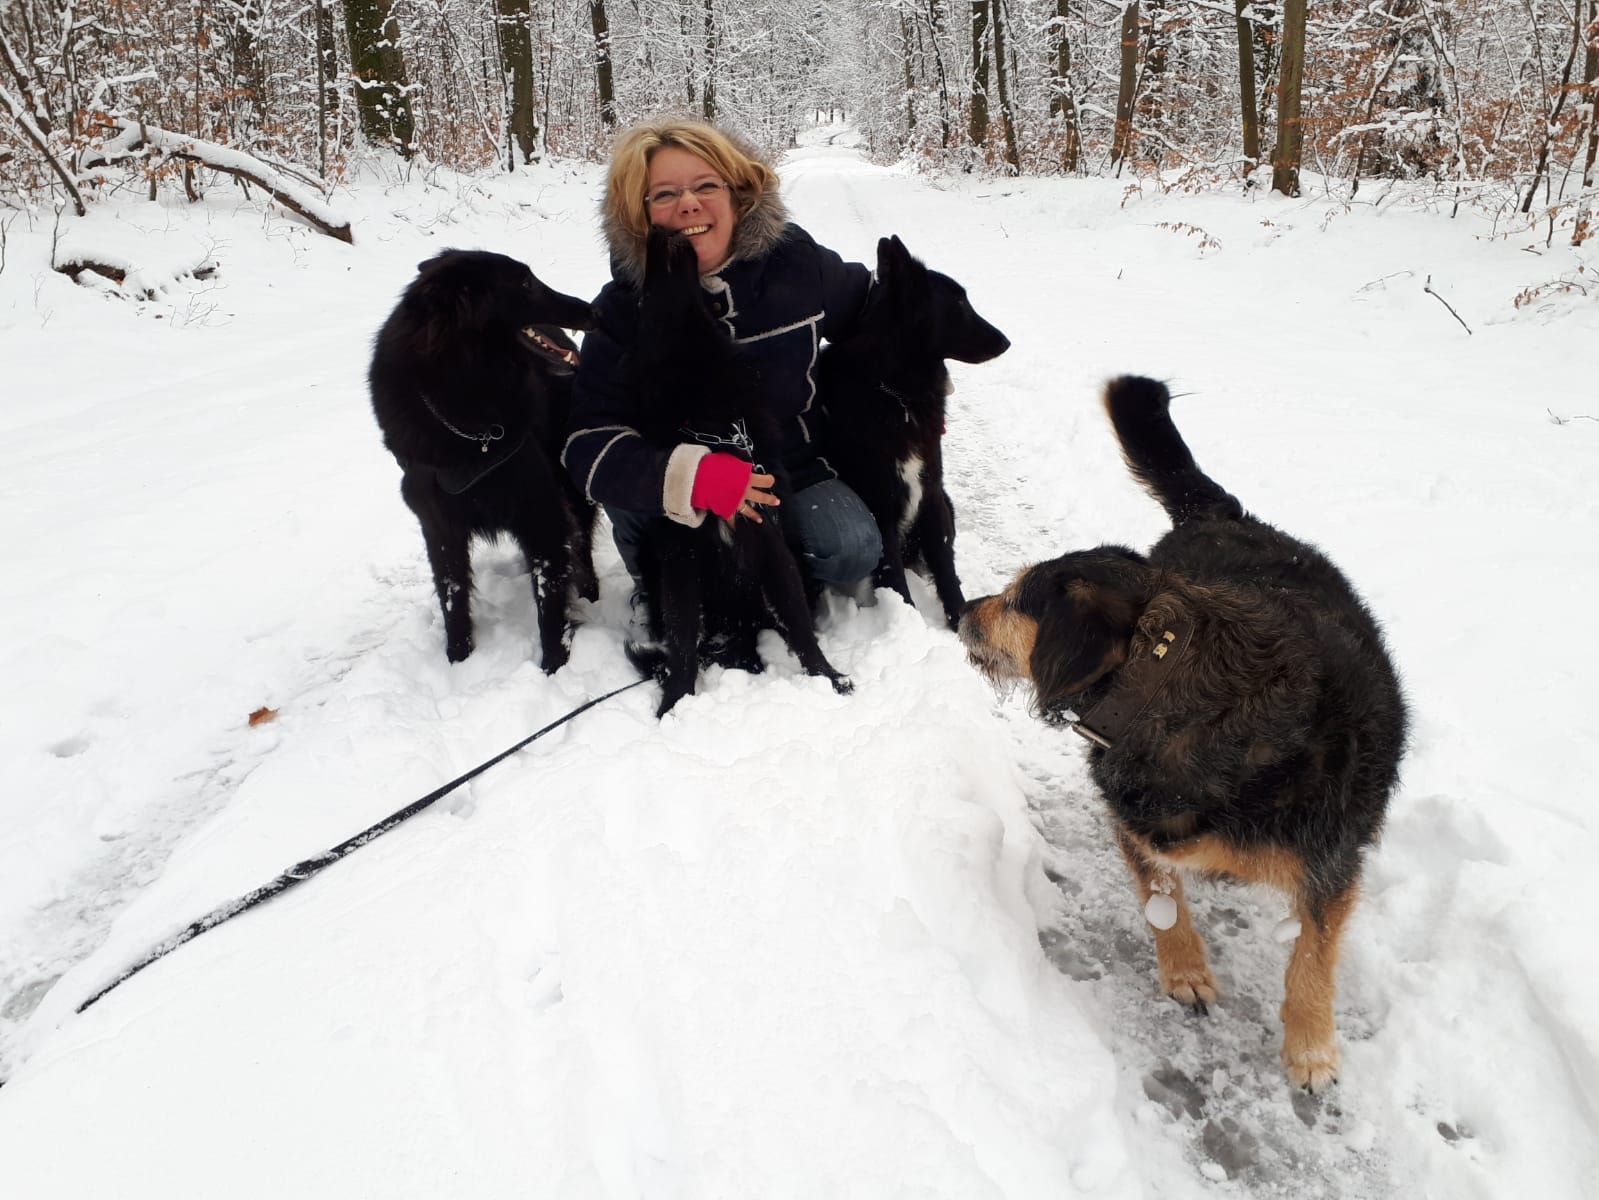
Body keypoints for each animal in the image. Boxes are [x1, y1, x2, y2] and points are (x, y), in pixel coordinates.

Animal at [369, 249, 598, 672]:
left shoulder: (540, 512)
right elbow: (452, 597)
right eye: (524, 283)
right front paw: (458, 661)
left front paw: (553, 666)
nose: (593, 310)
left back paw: (590, 593)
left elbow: (550, 602)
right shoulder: (439, 526)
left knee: (582, 546)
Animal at [626, 228, 851, 717]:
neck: (714, 428)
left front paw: (830, 680)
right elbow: (682, 640)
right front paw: (674, 705)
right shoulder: (680, 555)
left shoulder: (767, 536)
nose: (661, 230)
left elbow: (799, 623)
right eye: (644, 295)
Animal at [819, 235, 1009, 628]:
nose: (1006, 341)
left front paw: (959, 625)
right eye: (959, 304)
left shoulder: (932, 494)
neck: (895, 390)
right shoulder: (880, 505)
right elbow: (894, 577)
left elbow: (947, 571)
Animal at [959, 376, 1407, 1092]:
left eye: (1018, 599)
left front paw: (1311, 1047)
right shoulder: (1139, 823)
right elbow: (1160, 894)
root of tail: (1221, 515)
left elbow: (1313, 951)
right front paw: (1186, 969)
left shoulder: (1334, 856)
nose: (964, 609)